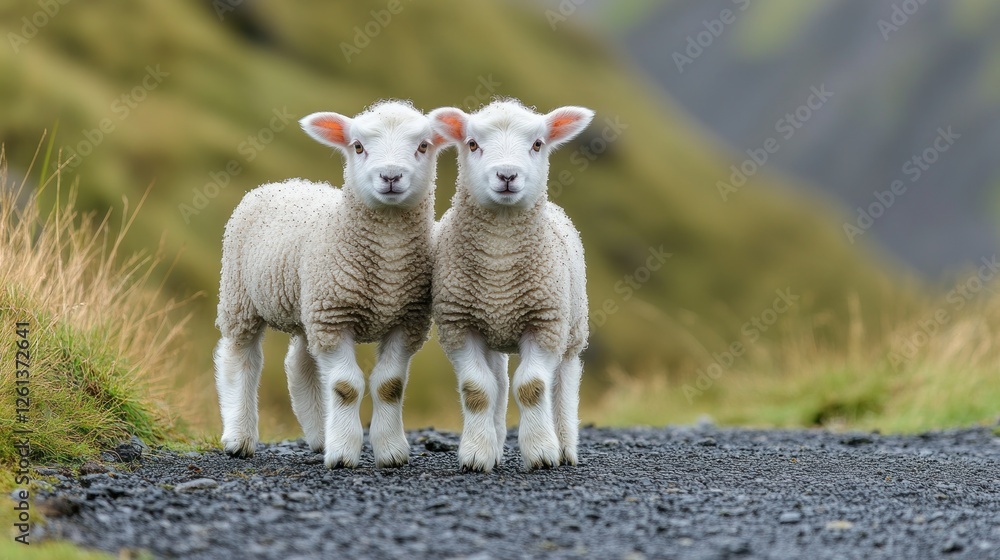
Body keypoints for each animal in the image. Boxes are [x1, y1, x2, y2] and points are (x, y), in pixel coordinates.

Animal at [214, 100, 444, 469]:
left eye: (423, 145)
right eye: (358, 146)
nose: (391, 177)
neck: (388, 267)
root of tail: (283, 182)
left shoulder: (407, 320)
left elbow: (390, 385)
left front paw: (391, 451)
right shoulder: (334, 319)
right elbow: (345, 386)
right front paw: (344, 453)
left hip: (306, 307)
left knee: (299, 365)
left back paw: (320, 435)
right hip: (240, 296)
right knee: (240, 359)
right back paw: (239, 436)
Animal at [429, 100, 594, 471]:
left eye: (537, 144)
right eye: (472, 143)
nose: (506, 175)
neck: (499, 268)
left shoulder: (545, 323)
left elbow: (532, 387)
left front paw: (542, 452)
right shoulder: (459, 325)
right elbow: (477, 390)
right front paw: (477, 453)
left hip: (572, 328)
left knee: (563, 383)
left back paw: (566, 446)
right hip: (493, 332)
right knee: (499, 384)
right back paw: (496, 443)